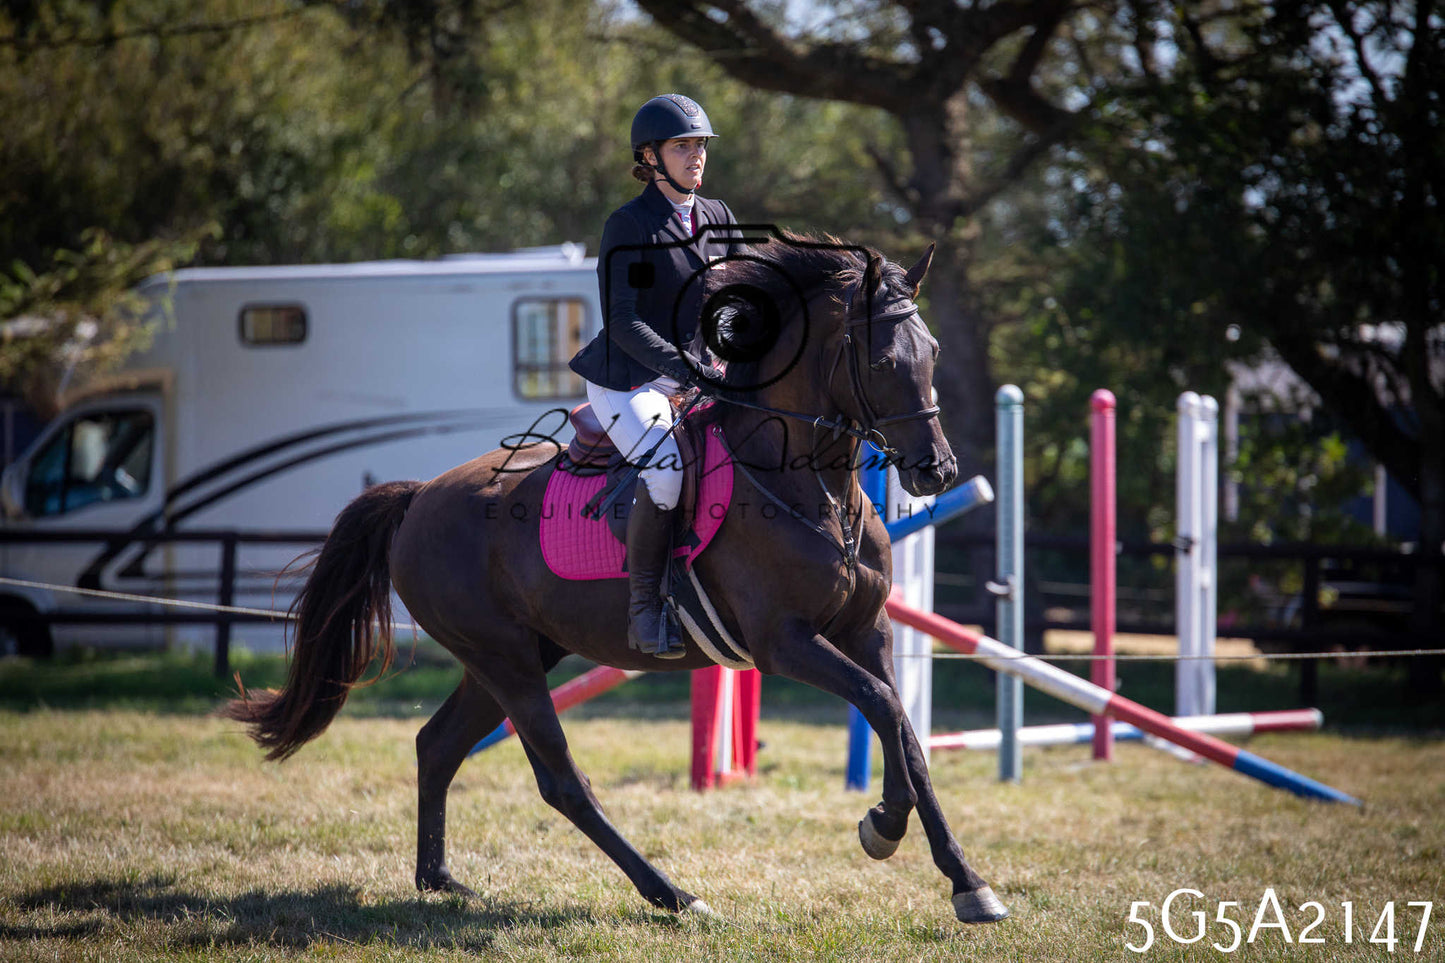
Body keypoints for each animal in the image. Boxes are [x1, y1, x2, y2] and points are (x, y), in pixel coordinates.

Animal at [224, 232, 1010, 925]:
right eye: (880, 358)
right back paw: (672, 895)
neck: (811, 486)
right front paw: (883, 824)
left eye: (932, 352)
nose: (935, 470)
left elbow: (905, 731)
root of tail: (419, 497)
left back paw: (440, 881)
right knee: (559, 779)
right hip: (504, 658)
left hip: (514, 652)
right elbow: (881, 706)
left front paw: (965, 882)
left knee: (438, 744)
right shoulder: (784, 642)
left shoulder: (865, 630)